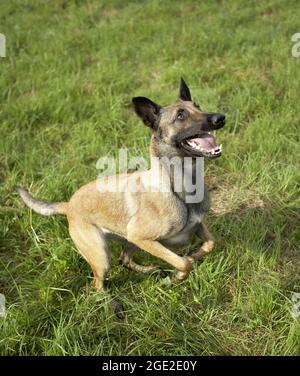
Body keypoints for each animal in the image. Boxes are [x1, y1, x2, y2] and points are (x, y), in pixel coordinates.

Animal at [15, 78, 223, 310]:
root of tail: (69, 204)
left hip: (126, 241)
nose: (220, 118)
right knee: (97, 284)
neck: (180, 186)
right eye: (180, 116)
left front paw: (193, 257)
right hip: (102, 256)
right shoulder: (142, 238)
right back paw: (112, 304)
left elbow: (209, 244)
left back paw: (150, 271)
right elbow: (183, 262)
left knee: (124, 260)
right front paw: (178, 274)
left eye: (198, 106)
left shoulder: (195, 224)